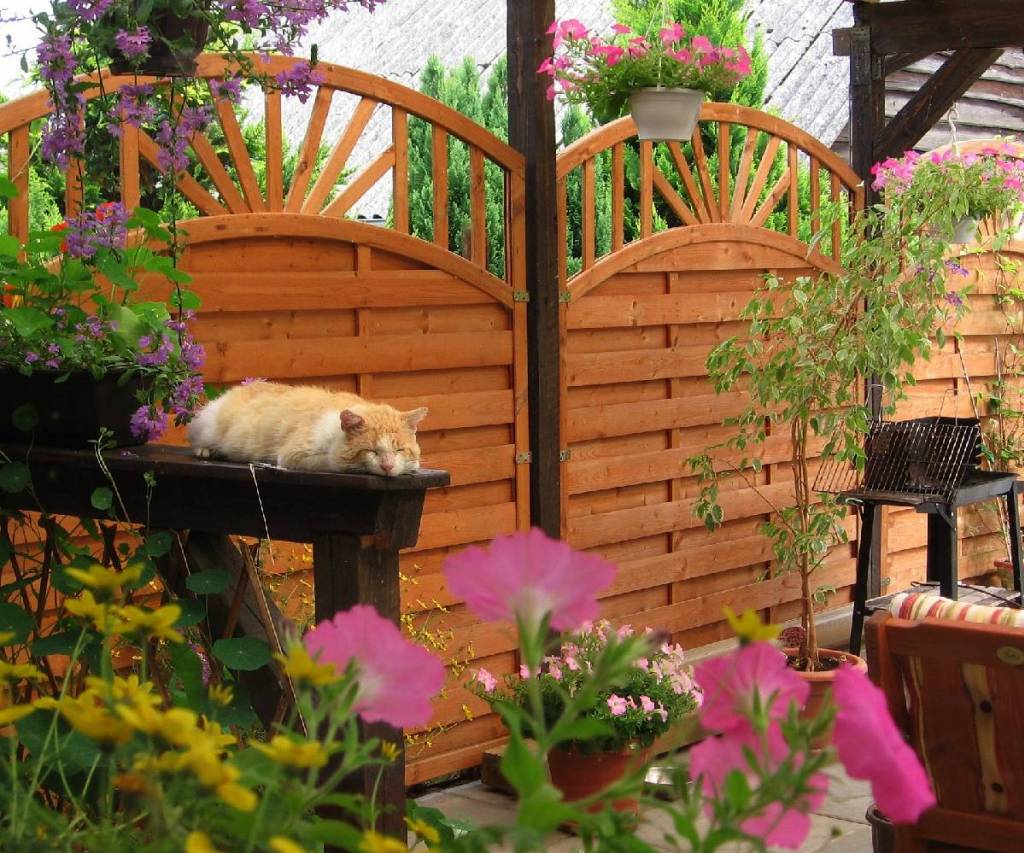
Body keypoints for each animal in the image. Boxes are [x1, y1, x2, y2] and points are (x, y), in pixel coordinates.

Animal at [189, 380, 428, 475]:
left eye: (399, 450)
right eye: (371, 451)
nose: (388, 467)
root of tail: (244, 386)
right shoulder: (293, 455)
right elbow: (334, 462)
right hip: (207, 424)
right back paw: (207, 450)